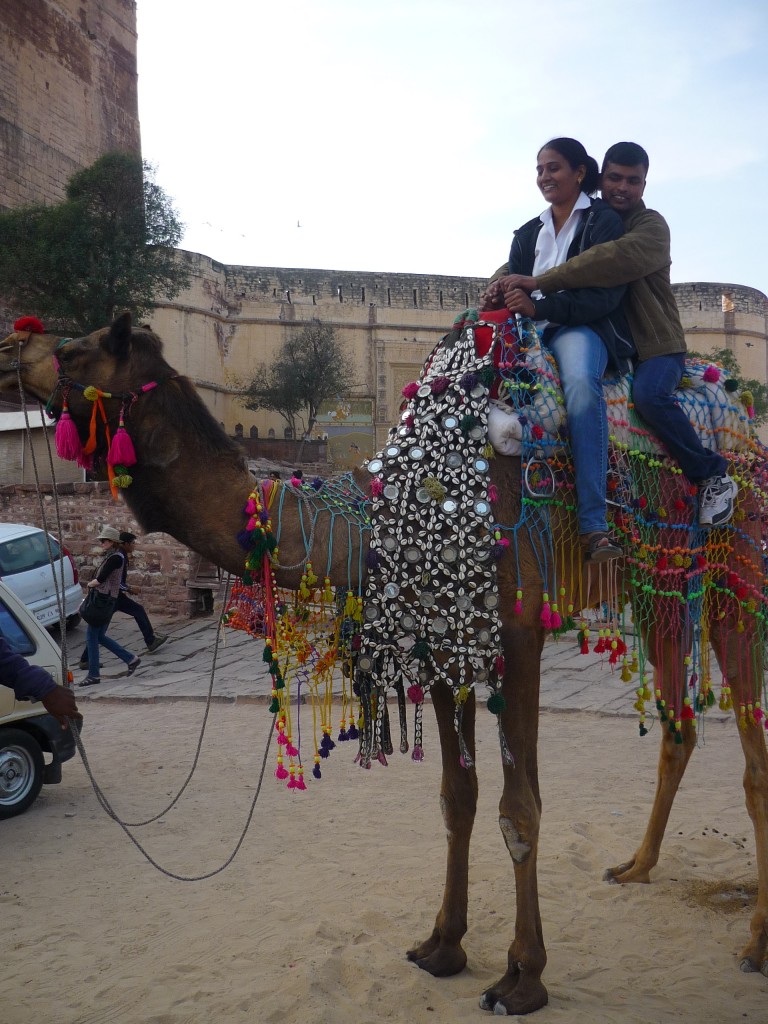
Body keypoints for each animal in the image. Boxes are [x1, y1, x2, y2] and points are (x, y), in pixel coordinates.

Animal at [0, 313, 765, 1015]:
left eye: (77, 348)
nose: (11, 345)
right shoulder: (443, 644)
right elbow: (457, 799)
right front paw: (443, 945)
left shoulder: (518, 636)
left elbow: (520, 809)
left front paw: (522, 977)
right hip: (658, 579)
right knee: (679, 722)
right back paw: (636, 867)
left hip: (738, 572)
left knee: (750, 746)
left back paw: (755, 942)